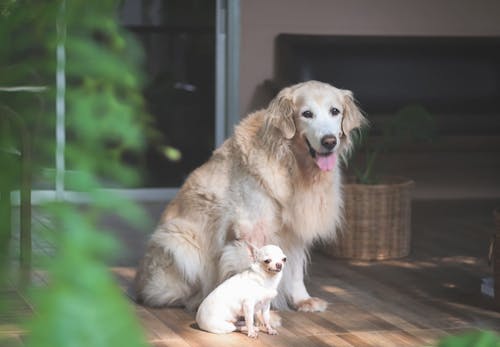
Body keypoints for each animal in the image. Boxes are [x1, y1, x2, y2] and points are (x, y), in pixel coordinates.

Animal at [135, 81, 366, 312]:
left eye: (335, 111)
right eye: (307, 114)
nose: (329, 141)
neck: (291, 164)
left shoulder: (295, 231)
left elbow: (296, 270)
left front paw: (302, 300)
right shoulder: (251, 229)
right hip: (178, 240)